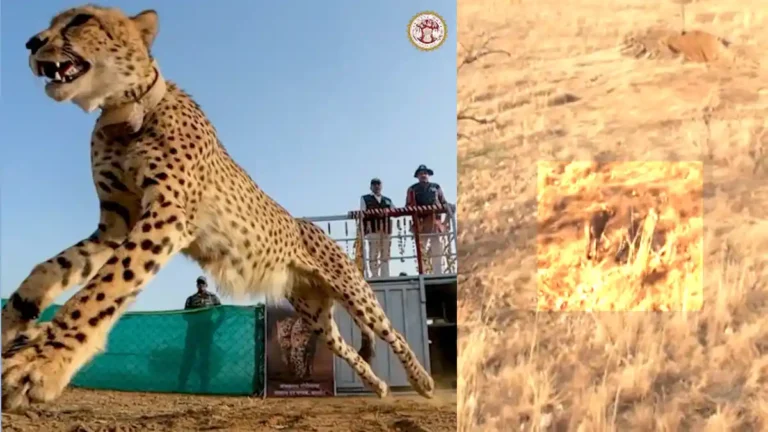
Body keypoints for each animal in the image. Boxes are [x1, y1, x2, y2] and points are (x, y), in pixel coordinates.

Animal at [1, 4, 434, 410]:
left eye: (80, 20)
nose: (31, 43)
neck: (127, 110)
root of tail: (309, 225)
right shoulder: (116, 225)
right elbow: (48, 270)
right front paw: (13, 323)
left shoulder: (166, 218)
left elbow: (104, 288)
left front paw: (42, 362)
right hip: (313, 314)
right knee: (344, 347)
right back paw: (378, 386)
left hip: (354, 293)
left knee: (392, 333)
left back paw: (422, 381)